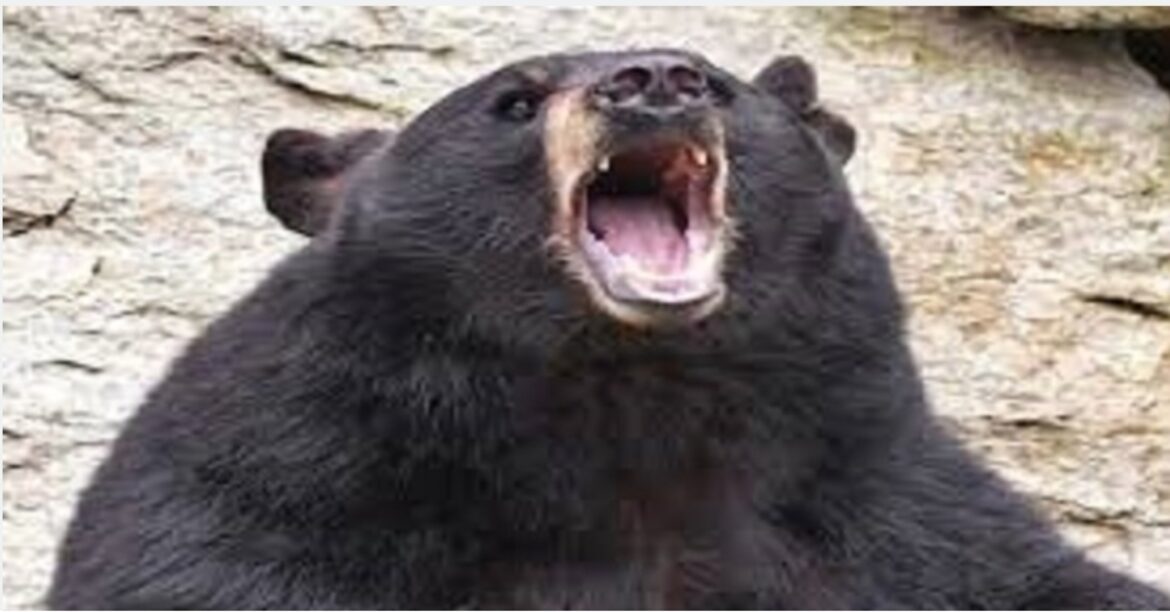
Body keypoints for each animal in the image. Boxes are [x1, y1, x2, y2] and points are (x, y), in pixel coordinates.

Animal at [49, 49, 1170, 609]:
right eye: (513, 101)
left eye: (722, 87)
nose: (656, 82)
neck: (627, 402)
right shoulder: (293, 482)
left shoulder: (878, 509)